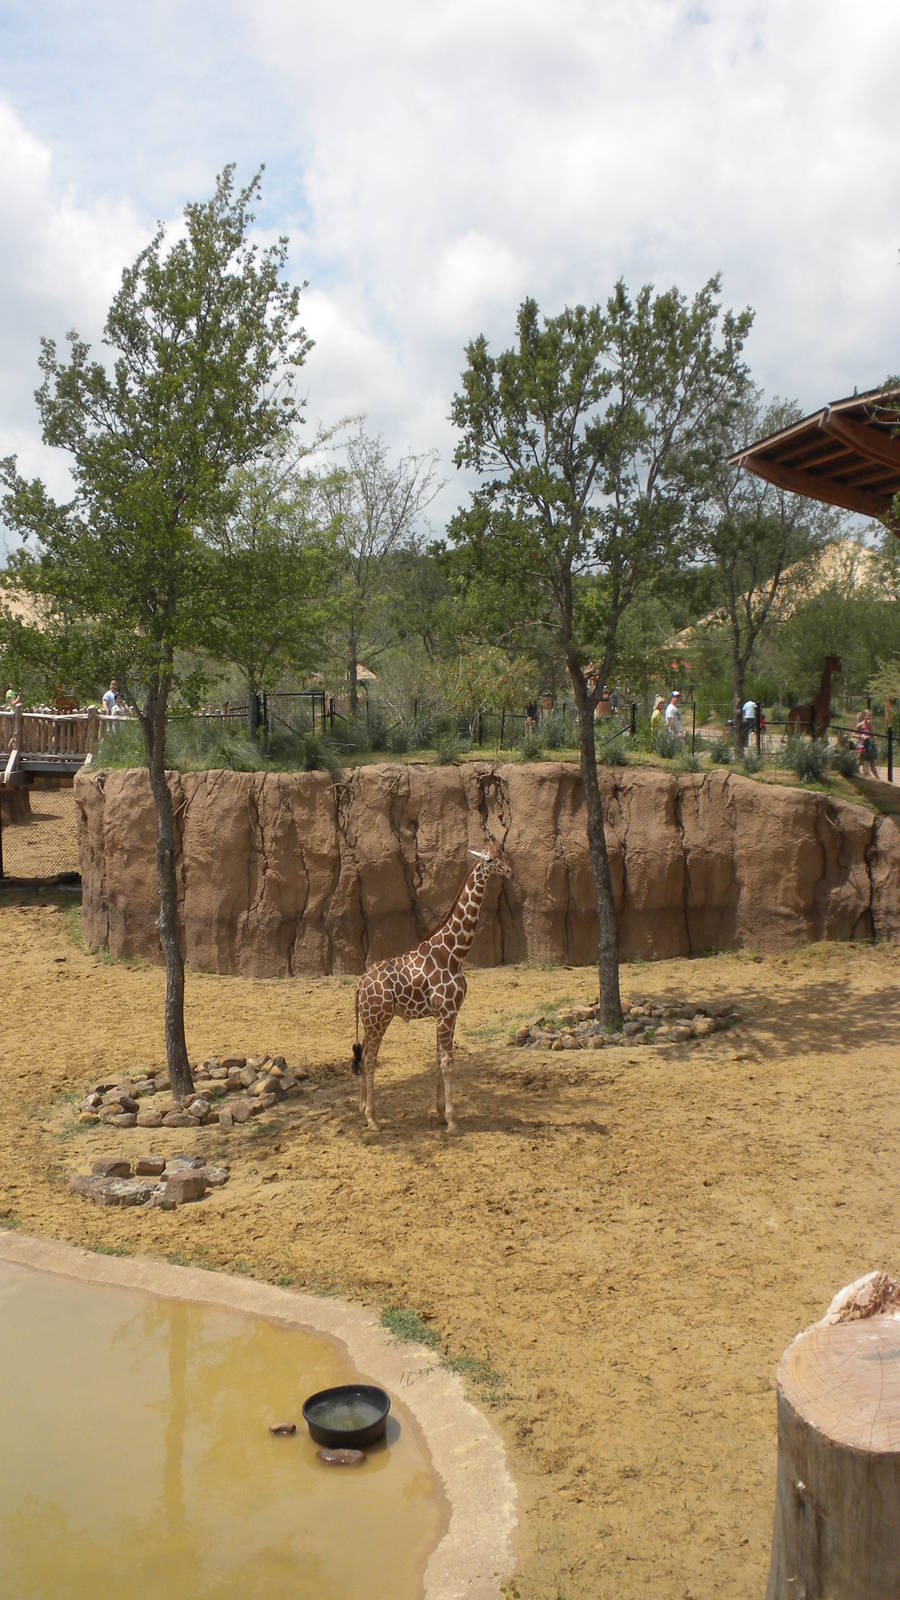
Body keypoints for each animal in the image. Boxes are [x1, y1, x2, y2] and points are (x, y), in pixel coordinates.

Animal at [351, 836, 512, 1134]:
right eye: (489, 860)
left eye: (503, 854)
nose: (508, 871)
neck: (453, 953)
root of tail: (359, 985)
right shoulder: (446, 1012)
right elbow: (448, 1063)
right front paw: (452, 1121)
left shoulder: (449, 1013)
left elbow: (439, 1060)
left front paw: (439, 1113)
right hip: (380, 1019)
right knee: (368, 1057)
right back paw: (372, 1118)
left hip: (370, 1020)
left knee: (363, 1054)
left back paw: (361, 1111)